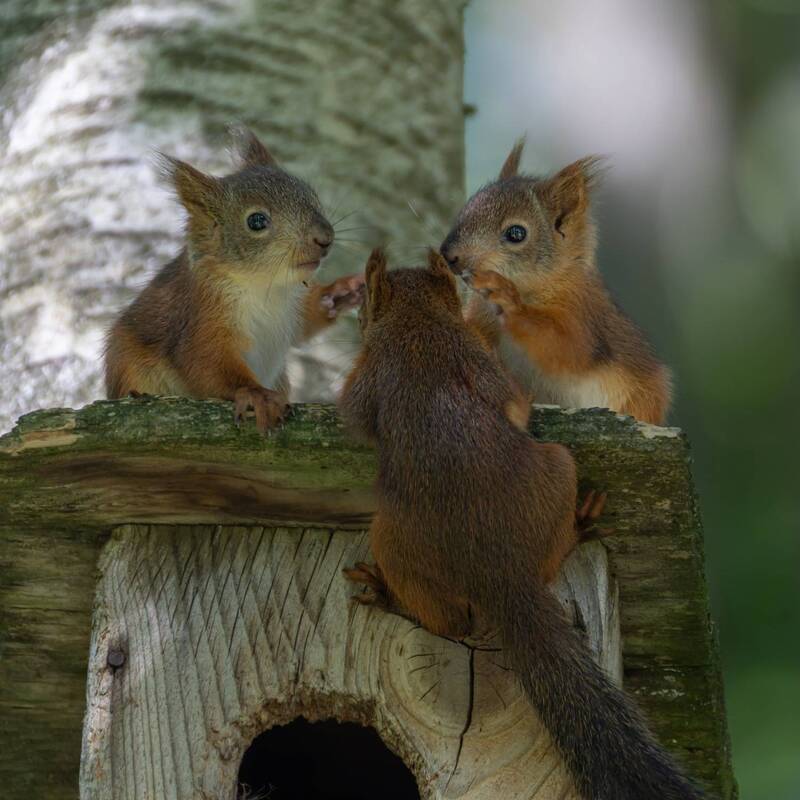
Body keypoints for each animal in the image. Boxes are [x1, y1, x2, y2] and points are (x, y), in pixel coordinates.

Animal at [104, 128, 364, 431]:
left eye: (312, 195)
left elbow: (305, 326)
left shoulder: (294, 308)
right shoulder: (203, 316)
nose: (325, 238)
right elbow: (205, 361)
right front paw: (255, 394)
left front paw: (340, 292)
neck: (265, 286)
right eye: (256, 221)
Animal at [340, 248, 704, 800]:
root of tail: (500, 571)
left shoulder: (375, 379)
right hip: (543, 475)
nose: (353, 319)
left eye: (364, 303)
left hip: (409, 531)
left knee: (450, 623)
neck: (418, 322)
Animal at [440, 139, 672, 425]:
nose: (449, 254)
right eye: (465, 210)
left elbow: (564, 347)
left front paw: (509, 301)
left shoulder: (581, 314)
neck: (536, 286)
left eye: (516, 233)